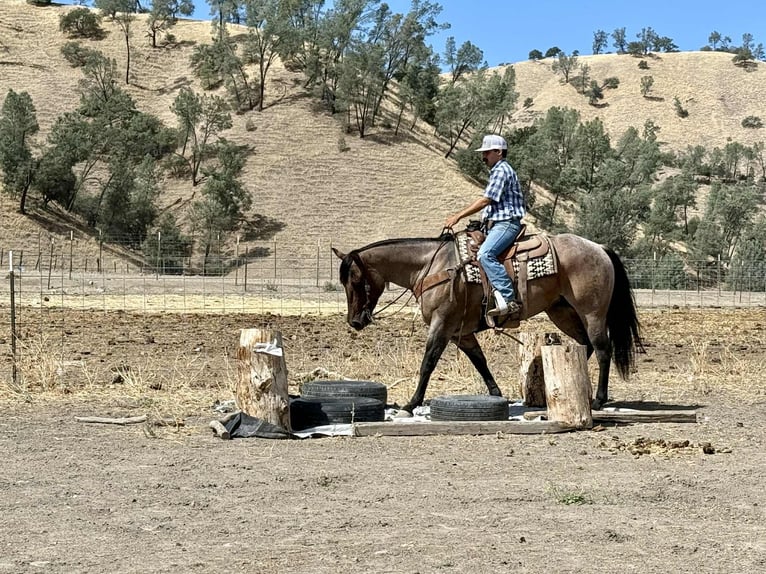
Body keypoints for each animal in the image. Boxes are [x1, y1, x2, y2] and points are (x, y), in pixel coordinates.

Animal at [332, 231, 643, 414]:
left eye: (356, 280)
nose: (354, 322)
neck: (432, 266)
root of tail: (599, 247)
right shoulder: (460, 332)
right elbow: (479, 360)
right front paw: (496, 395)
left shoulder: (442, 325)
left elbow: (428, 362)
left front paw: (411, 404)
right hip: (561, 311)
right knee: (583, 345)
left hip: (592, 312)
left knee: (602, 349)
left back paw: (598, 400)